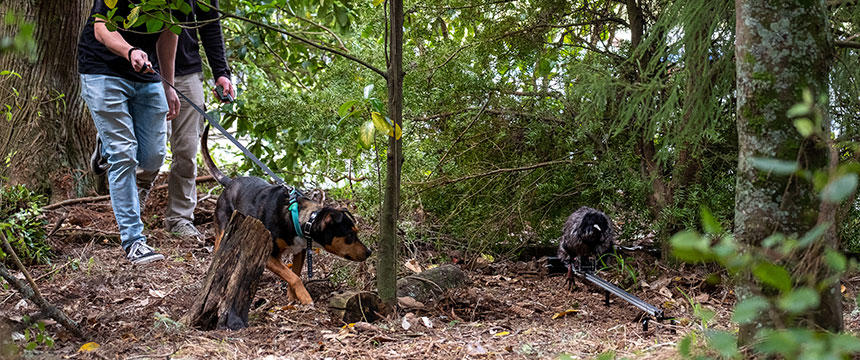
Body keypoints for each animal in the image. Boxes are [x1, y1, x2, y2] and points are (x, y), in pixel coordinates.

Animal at [204, 126, 372, 304]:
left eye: (356, 233)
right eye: (349, 235)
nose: (369, 252)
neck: (302, 219)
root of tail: (230, 183)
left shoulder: (300, 251)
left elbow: (294, 274)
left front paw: (293, 299)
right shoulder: (269, 255)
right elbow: (294, 277)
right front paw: (306, 298)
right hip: (224, 229)